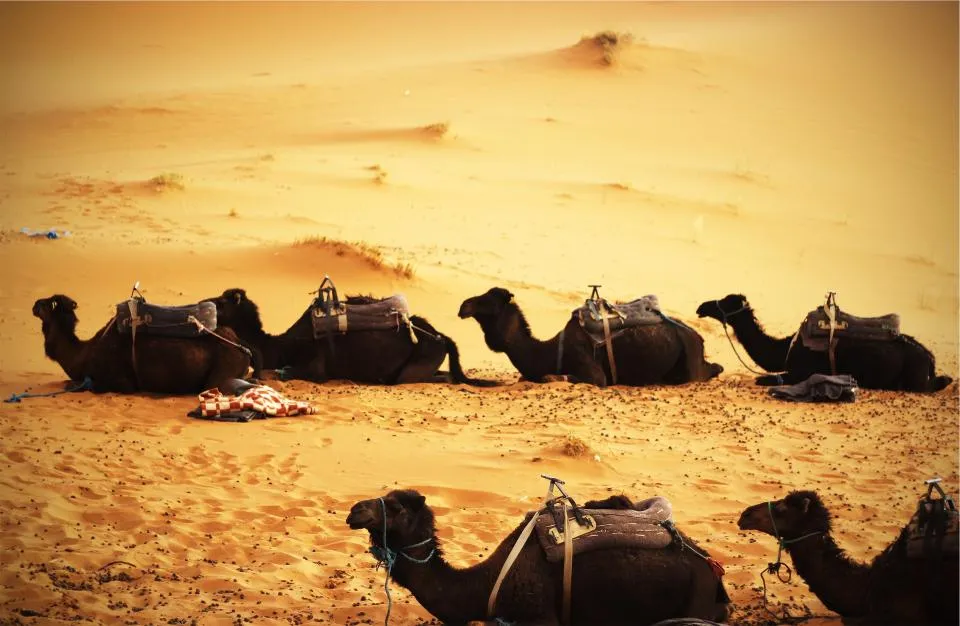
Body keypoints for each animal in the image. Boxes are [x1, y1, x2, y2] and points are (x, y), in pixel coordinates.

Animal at [33, 295, 253, 394]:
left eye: (50, 303)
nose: (35, 304)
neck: (84, 354)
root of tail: (243, 347)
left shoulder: (122, 383)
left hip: (218, 376)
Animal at [206, 288, 497, 386]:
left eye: (221, 303)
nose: (203, 302)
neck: (283, 345)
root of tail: (442, 337)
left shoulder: (316, 368)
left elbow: (287, 372)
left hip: (417, 366)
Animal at [458, 287, 722, 386]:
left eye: (488, 300)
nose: (463, 306)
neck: (550, 352)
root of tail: (699, 338)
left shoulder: (594, 374)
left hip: (690, 366)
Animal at [696, 294, 952, 392]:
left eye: (727, 302)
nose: (702, 306)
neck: (786, 347)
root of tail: (929, 357)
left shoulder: (799, 373)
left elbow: (765, 380)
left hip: (915, 379)